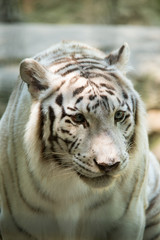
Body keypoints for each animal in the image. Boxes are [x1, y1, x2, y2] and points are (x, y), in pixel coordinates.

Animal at [0, 40, 160, 239]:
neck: (71, 188)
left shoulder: (128, 221)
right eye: (78, 118)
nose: (109, 165)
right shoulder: (18, 226)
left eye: (119, 115)